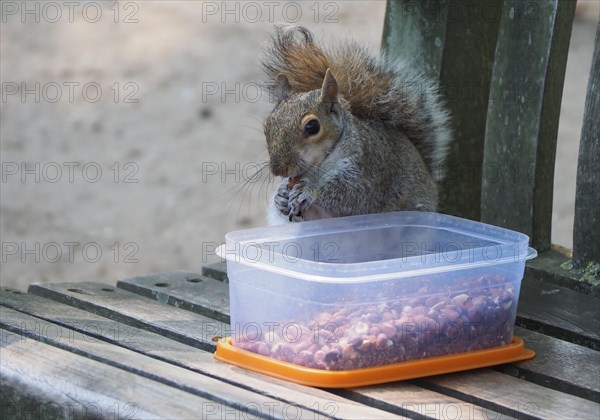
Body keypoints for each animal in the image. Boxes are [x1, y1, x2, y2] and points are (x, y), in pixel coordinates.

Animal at [262, 25, 450, 223]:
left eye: (312, 127)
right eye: (267, 126)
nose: (279, 170)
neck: (317, 167)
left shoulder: (367, 167)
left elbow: (353, 195)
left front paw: (309, 192)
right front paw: (280, 196)